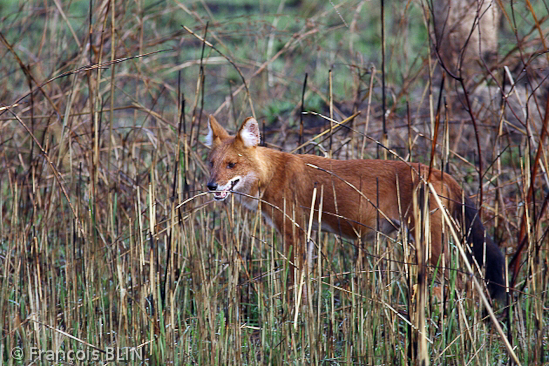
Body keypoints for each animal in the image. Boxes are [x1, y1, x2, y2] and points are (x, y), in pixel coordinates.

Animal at [206, 115, 506, 300]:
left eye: (231, 164)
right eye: (211, 163)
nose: (210, 185)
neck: (272, 174)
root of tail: (439, 172)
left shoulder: (294, 232)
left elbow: (293, 280)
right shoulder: (308, 233)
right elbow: (305, 278)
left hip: (430, 244)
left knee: (459, 282)